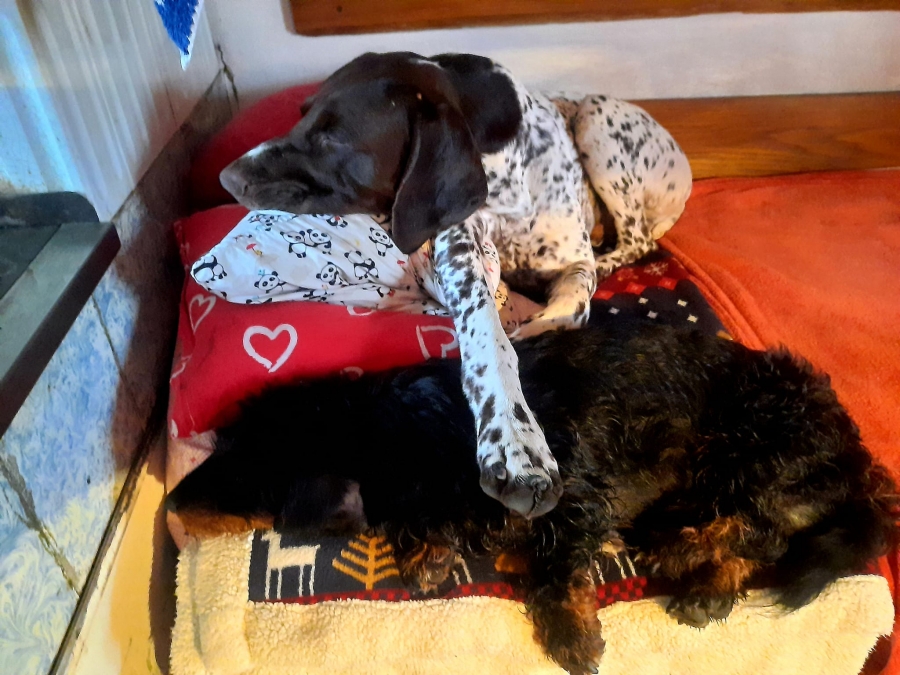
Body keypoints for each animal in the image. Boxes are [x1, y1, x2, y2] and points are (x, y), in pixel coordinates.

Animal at [168, 318, 898, 674]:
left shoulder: (571, 489)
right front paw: (429, 552)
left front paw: (573, 636)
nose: (171, 503)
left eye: (234, 458)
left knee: (757, 529)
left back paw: (690, 564)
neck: (402, 427)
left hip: (752, 447)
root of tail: (857, 457)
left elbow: (553, 570)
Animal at [218, 52, 692, 518]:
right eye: (300, 115)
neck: (507, 181)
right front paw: (515, 436)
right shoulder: (458, 246)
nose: (227, 177)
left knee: (639, 240)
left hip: (597, 120)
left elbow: (573, 308)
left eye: (334, 138)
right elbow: (489, 336)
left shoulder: (574, 262)